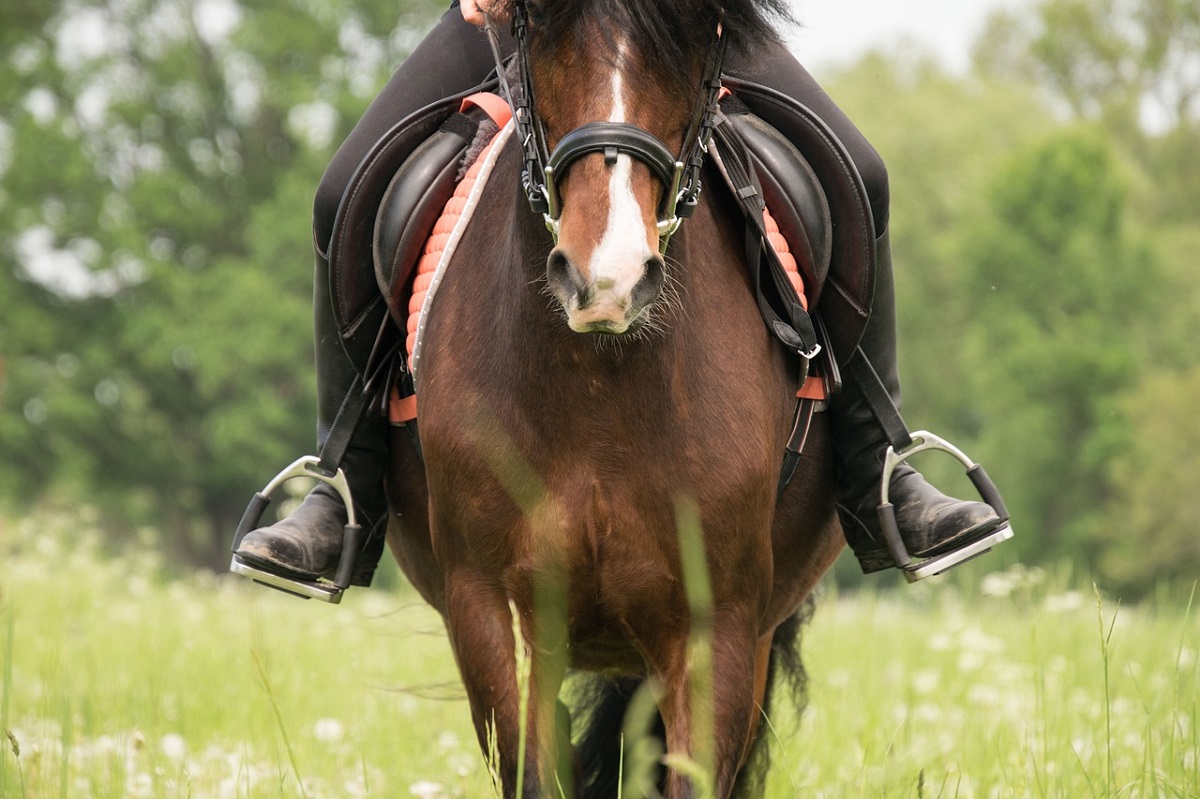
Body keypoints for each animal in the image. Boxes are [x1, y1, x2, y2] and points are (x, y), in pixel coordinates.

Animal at [384, 0, 844, 791]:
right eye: (540, 37)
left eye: (697, 48)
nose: (608, 279)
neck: (601, 392)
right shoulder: (491, 606)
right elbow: (532, 770)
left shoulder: (718, 625)